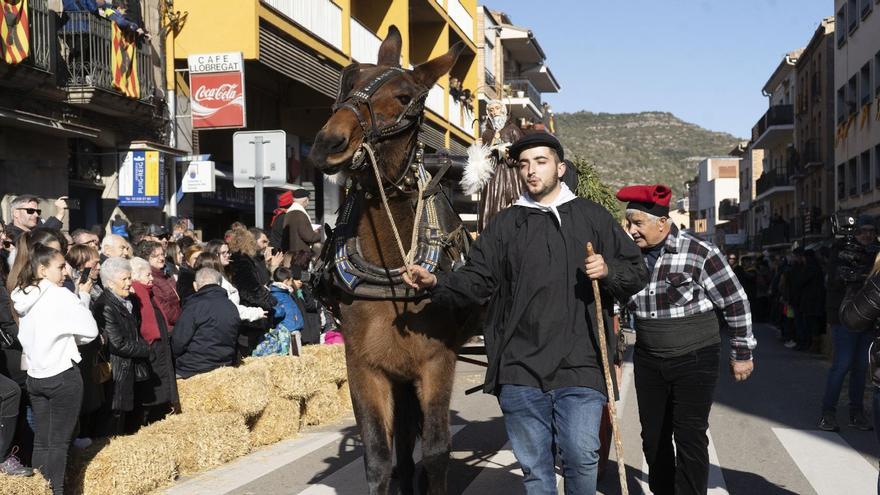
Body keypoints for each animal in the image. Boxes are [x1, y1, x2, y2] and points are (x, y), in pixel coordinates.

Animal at [308, 27, 474, 495]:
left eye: (403, 97)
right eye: (348, 80)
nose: (328, 143)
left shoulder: (437, 361)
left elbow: (436, 451)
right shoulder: (365, 365)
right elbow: (378, 458)